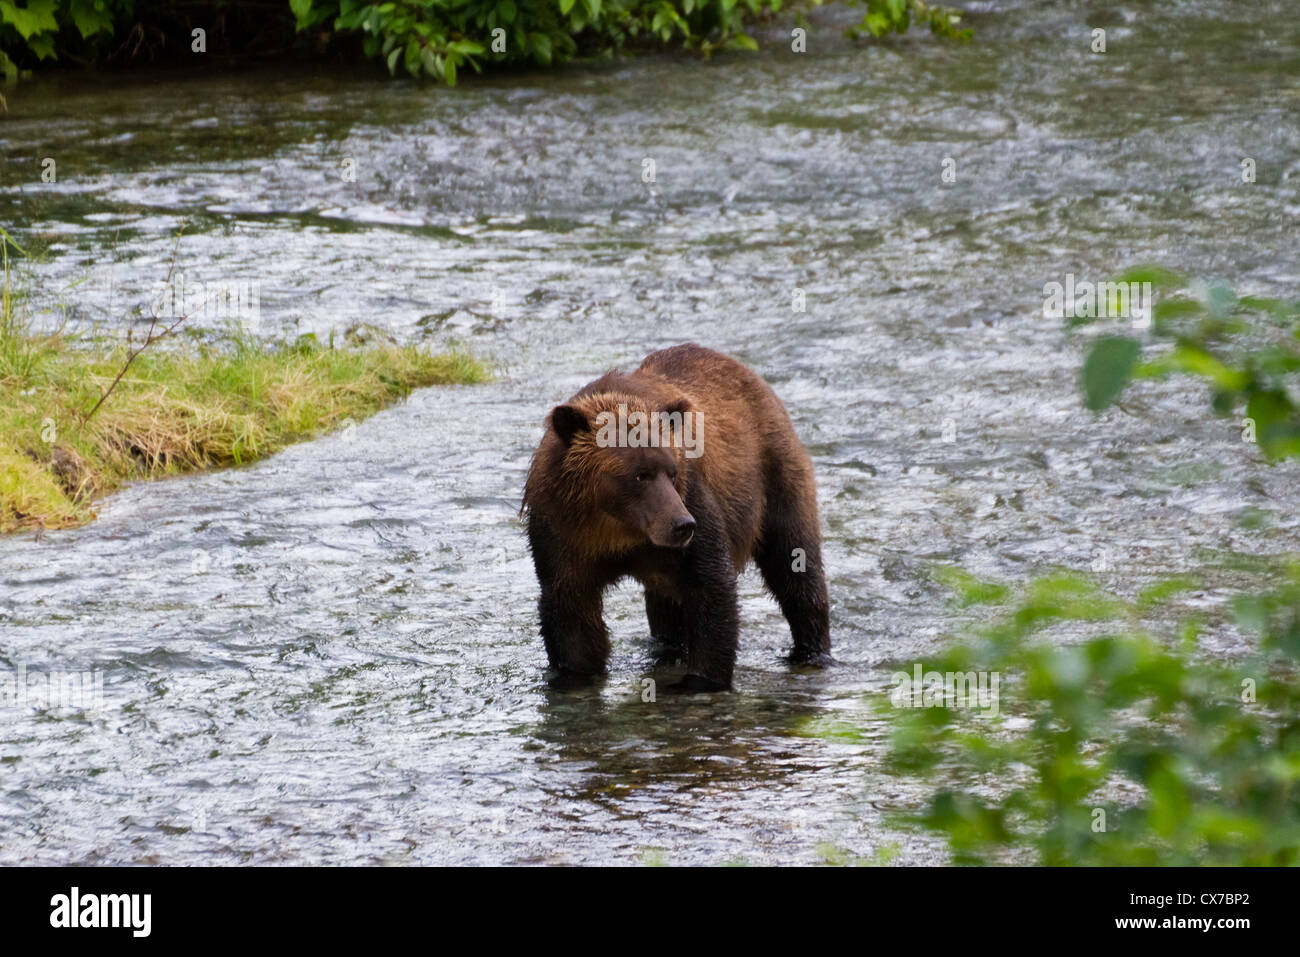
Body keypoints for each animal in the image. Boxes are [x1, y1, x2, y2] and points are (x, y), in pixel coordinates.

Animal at [520, 343, 832, 686]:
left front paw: (699, 680)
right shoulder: (562, 533)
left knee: (794, 562)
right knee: (664, 607)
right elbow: (572, 613)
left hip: (774, 478)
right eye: (640, 475)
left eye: (671, 471)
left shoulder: (692, 503)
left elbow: (711, 585)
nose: (682, 525)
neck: (617, 531)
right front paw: (575, 674)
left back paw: (811, 652)